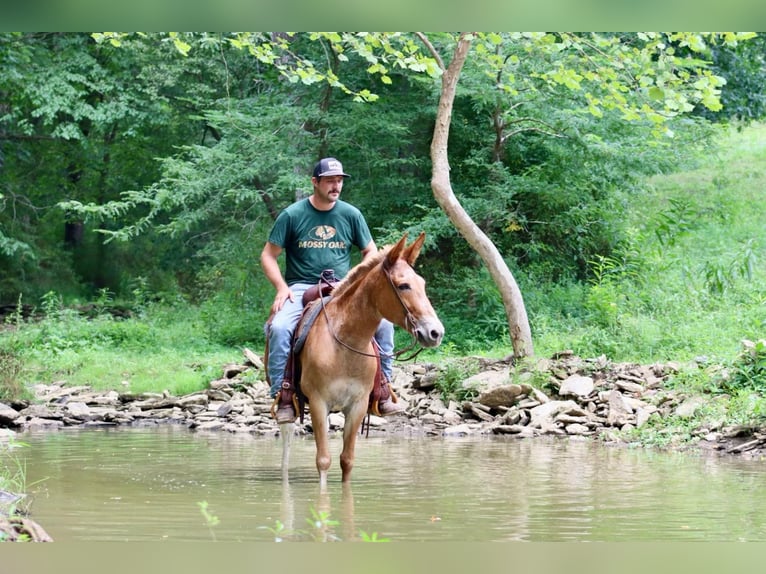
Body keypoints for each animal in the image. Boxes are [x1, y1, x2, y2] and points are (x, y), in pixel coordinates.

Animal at [280, 232, 444, 488]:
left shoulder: (357, 405)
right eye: (403, 285)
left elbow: (347, 461)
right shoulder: (318, 402)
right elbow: (323, 461)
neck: (345, 344)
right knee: (286, 446)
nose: (435, 333)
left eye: (423, 284)